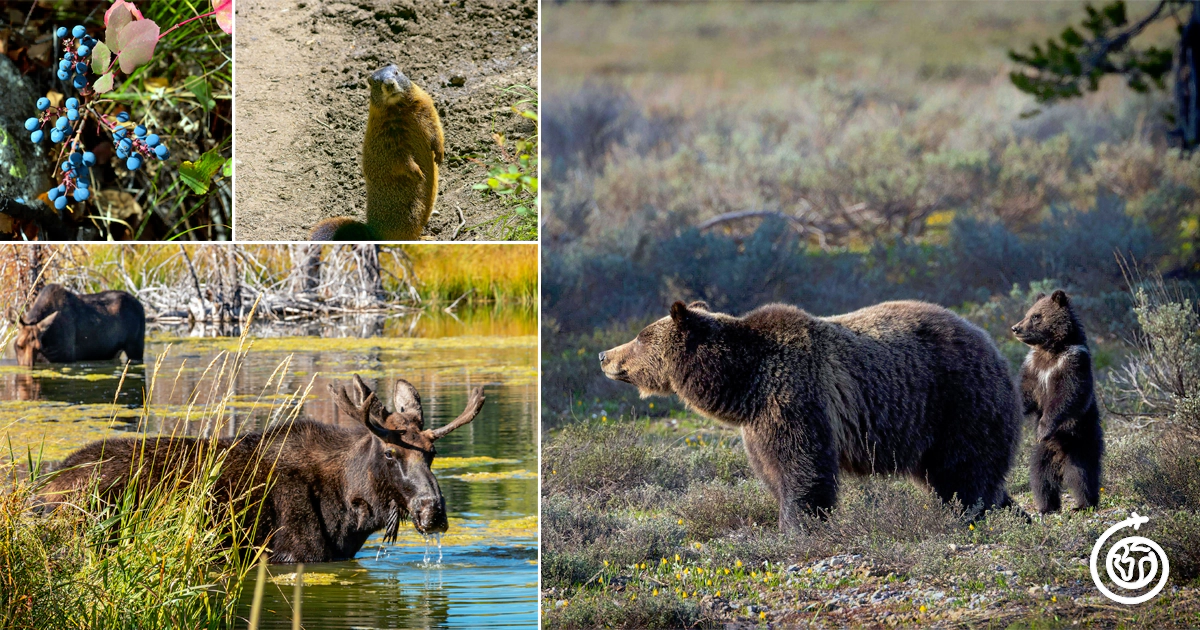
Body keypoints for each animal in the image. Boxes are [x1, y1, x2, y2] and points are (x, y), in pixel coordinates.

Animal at [9, 283, 145, 364]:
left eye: (38, 348)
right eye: (19, 345)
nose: (27, 366)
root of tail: (141, 305)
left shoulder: (66, 357)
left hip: (136, 348)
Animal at [41, 374, 487, 559]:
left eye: (432, 453)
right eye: (391, 453)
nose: (434, 511)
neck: (351, 514)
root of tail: (38, 494)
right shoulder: (293, 556)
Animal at [600, 297, 1022, 528]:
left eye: (640, 337)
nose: (605, 355)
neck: (743, 380)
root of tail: (994, 345)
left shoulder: (794, 394)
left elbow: (803, 467)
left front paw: (798, 525)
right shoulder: (757, 423)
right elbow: (773, 471)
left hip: (957, 401)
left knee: (965, 472)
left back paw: (968, 515)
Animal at [1008, 290, 1099, 511]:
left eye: (1036, 316)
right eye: (1028, 313)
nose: (1016, 328)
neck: (1051, 351)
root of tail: (1060, 457)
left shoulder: (1071, 364)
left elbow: (1065, 397)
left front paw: (1043, 428)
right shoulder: (1033, 368)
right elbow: (1025, 393)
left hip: (1080, 440)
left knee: (1081, 474)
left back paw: (1084, 503)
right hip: (1044, 453)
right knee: (1041, 476)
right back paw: (1046, 505)